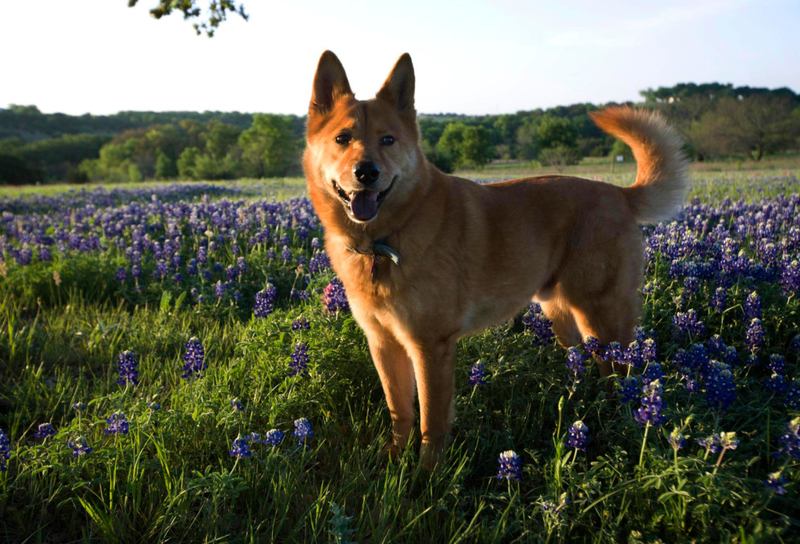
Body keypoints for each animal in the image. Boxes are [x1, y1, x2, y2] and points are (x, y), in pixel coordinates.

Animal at [300, 51, 688, 466]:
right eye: (342, 138)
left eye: (388, 140)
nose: (366, 172)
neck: (382, 241)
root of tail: (620, 194)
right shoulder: (383, 342)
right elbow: (399, 409)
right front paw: (394, 459)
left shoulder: (430, 344)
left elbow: (431, 418)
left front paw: (427, 471)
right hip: (560, 310)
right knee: (580, 362)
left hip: (601, 311)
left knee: (622, 371)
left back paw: (621, 421)